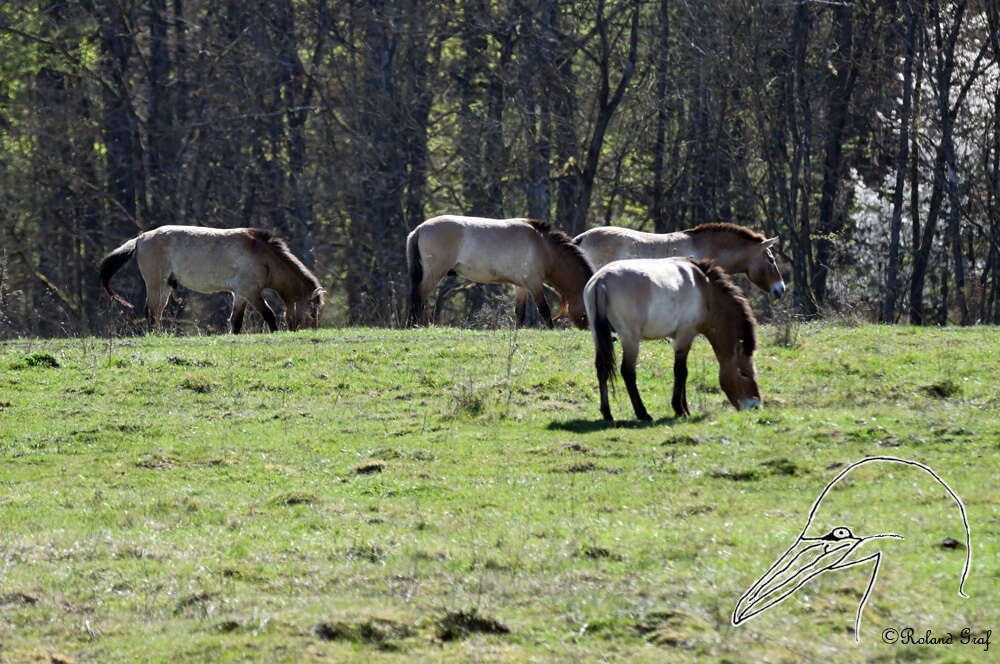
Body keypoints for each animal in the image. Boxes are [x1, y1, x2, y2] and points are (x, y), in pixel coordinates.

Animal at [98, 227, 324, 332]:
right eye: (313, 313)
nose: (308, 331)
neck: (264, 256)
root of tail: (141, 238)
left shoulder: (240, 295)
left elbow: (236, 321)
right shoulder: (251, 292)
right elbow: (268, 314)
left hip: (165, 287)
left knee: (157, 312)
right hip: (156, 284)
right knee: (152, 312)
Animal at [406, 217, 592, 328]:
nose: (588, 329)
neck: (544, 248)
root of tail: (420, 228)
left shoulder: (522, 287)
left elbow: (520, 313)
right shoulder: (534, 283)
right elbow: (544, 310)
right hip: (434, 274)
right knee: (419, 297)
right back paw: (419, 326)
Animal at [584, 256, 756, 422]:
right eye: (744, 373)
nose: (755, 406)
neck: (705, 289)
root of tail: (601, 280)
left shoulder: (677, 339)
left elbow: (683, 372)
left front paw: (685, 408)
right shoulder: (685, 336)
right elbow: (680, 371)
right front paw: (679, 409)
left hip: (598, 337)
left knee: (601, 368)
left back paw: (607, 413)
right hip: (630, 339)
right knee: (628, 372)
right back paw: (642, 413)